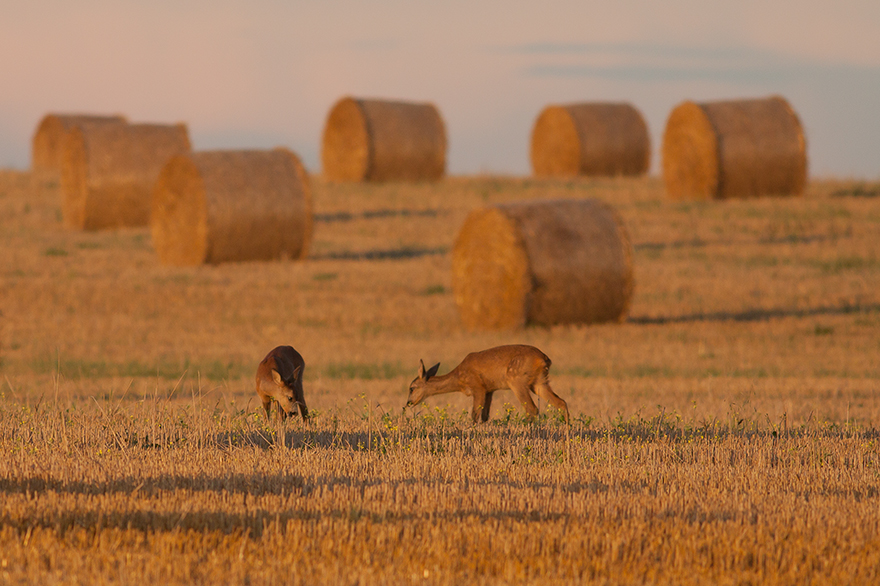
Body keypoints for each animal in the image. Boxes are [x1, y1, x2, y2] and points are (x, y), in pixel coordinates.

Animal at [408, 344, 572, 422]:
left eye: (411, 388)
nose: (408, 403)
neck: (459, 378)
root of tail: (544, 359)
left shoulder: (478, 387)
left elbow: (474, 415)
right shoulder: (490, 390)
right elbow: (485, 416)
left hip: (516, 380)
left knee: (532, 409)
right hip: (540, 382)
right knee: (561, 402)